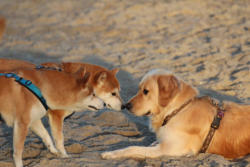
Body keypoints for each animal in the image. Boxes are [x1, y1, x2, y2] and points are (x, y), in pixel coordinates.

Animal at [101, 69, 250, 159]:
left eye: (146, 91)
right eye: (139, 89)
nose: (126, 106)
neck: (177, 110)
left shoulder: (168, 149)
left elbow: (133, 148)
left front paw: (110, 153)